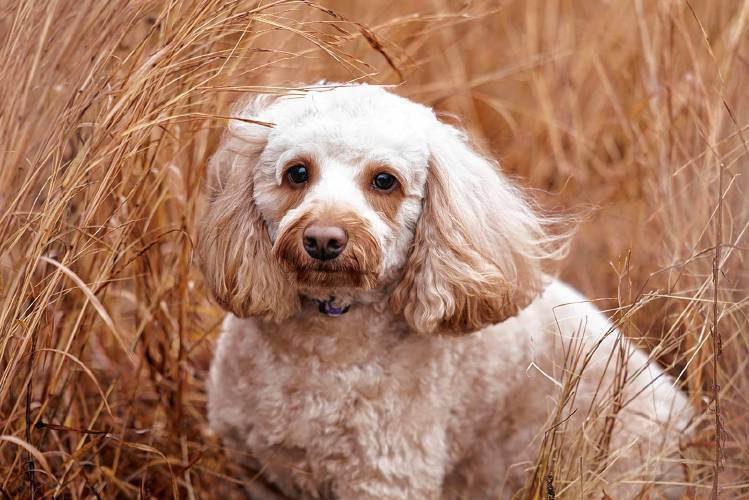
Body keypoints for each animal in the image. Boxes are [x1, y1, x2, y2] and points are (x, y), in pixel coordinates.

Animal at [197, 84, 688, 498]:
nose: (323, 239)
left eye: (384, 180)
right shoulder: (260, 474)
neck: (326, 333)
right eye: (297, 172)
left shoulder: (385, 477)